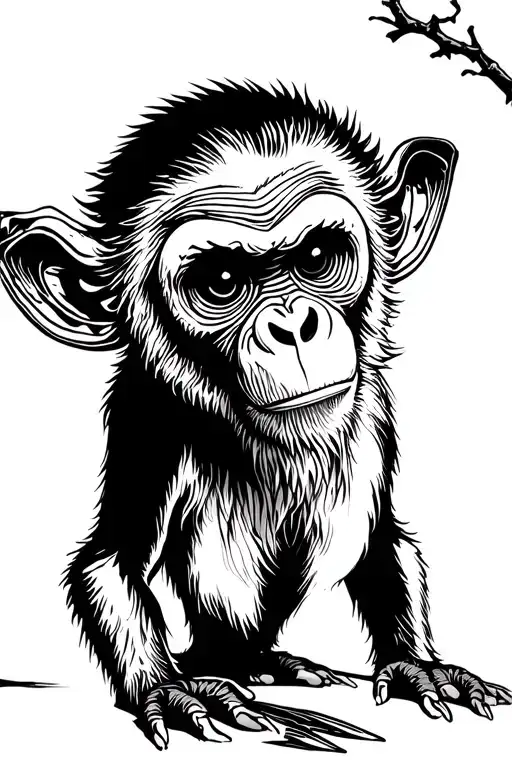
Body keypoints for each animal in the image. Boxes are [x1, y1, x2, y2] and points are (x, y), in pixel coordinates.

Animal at [0, 82, 510, 751]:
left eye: (316, 256)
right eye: (221, 281)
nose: (293, 325)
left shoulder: (377, 412)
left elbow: (383, 539)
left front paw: (416, 666)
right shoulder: (149, 422)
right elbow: (112, 562)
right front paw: (171, 692)